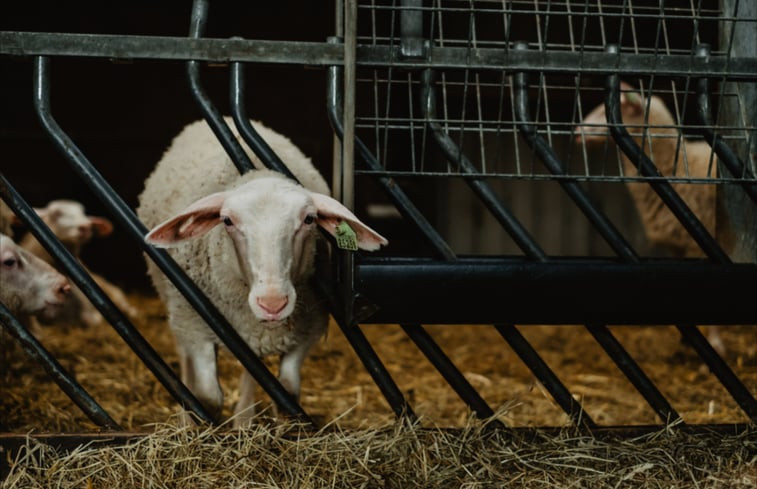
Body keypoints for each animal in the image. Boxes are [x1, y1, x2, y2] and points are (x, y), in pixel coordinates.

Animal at [137, 117, 390, 424]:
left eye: (309, 219)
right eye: (227, 221)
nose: (272, 304)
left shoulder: (308, 330)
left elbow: (288, 391)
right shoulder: (194, 322)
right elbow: (209, 397)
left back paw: (244, 419)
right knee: (184, 356)